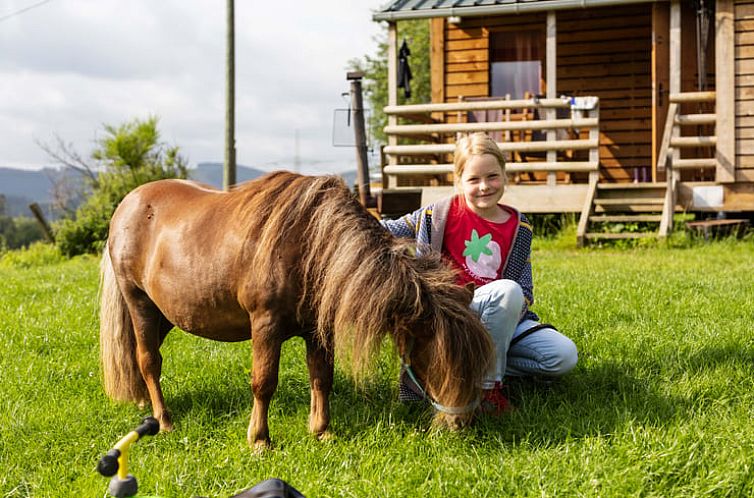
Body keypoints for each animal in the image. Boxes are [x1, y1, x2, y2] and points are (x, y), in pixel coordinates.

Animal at [97, 170, 490, 448]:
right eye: (433, 355)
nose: (461, 423)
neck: (310, 246)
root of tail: (128, 205)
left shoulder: (318, 330)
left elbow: (322, 377)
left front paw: (322, 431)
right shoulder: (265, 326)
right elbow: (264, 382)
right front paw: (260, 440)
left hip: (166, 314)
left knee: (137, 357)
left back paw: (143, 404)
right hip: (140, 304)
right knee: (149, 361)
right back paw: (164, 420)